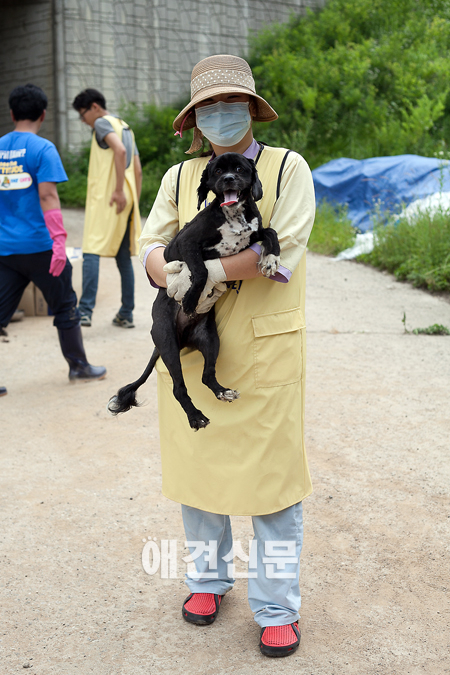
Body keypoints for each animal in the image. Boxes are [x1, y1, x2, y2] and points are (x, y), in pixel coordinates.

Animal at [107, 153, 280, 430]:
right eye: (217, 170)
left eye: (240, 168)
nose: (228, 178)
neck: (232, 215)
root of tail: (184, 337)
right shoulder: (183, 243)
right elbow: (199, 271)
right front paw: (188, 299)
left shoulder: (253, 235)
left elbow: (271, 232)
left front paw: (271, 259)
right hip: (167, 341)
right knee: (179, 388)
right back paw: (195, 416)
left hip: (210, 339)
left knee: (207, 376)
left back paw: (223, 391)